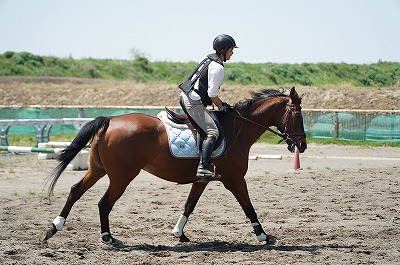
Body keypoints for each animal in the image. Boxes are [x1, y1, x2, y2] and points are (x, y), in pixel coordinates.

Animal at [43, 86, 306, 243]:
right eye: (297, 115)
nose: (302, 146)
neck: (236, 130)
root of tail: (109, 120)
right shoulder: (235, 180)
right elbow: (248, 206)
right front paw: (262, 235)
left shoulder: (202, 180)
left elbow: (189, 205)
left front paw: (179, 233)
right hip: (122, 176)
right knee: (103, 202)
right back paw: (107, 236)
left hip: (98, 170)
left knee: (76, 190)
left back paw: (54, 227)